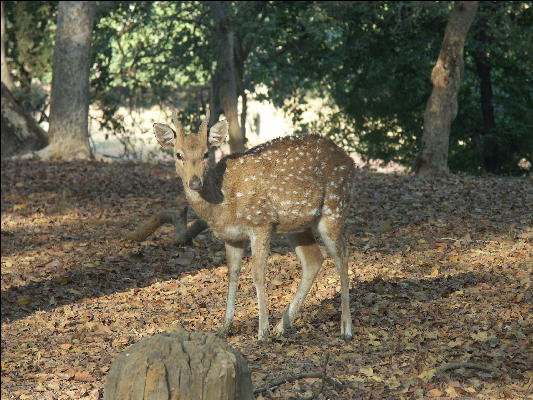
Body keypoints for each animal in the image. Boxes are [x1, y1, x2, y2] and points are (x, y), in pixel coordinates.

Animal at [152, 106, 356, 340]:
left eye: (206, 153)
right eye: (179, 154)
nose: (194, 182)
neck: (222, 203)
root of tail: (351, 162)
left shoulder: (261, 222)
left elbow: (258, 273)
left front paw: (262, 331)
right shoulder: (232, 236)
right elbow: (232, 274)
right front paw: (225, 327)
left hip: (334, 207)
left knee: (343, 256)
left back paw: (346, 328)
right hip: (298, 224)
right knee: (314, 260)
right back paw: (282, 326)